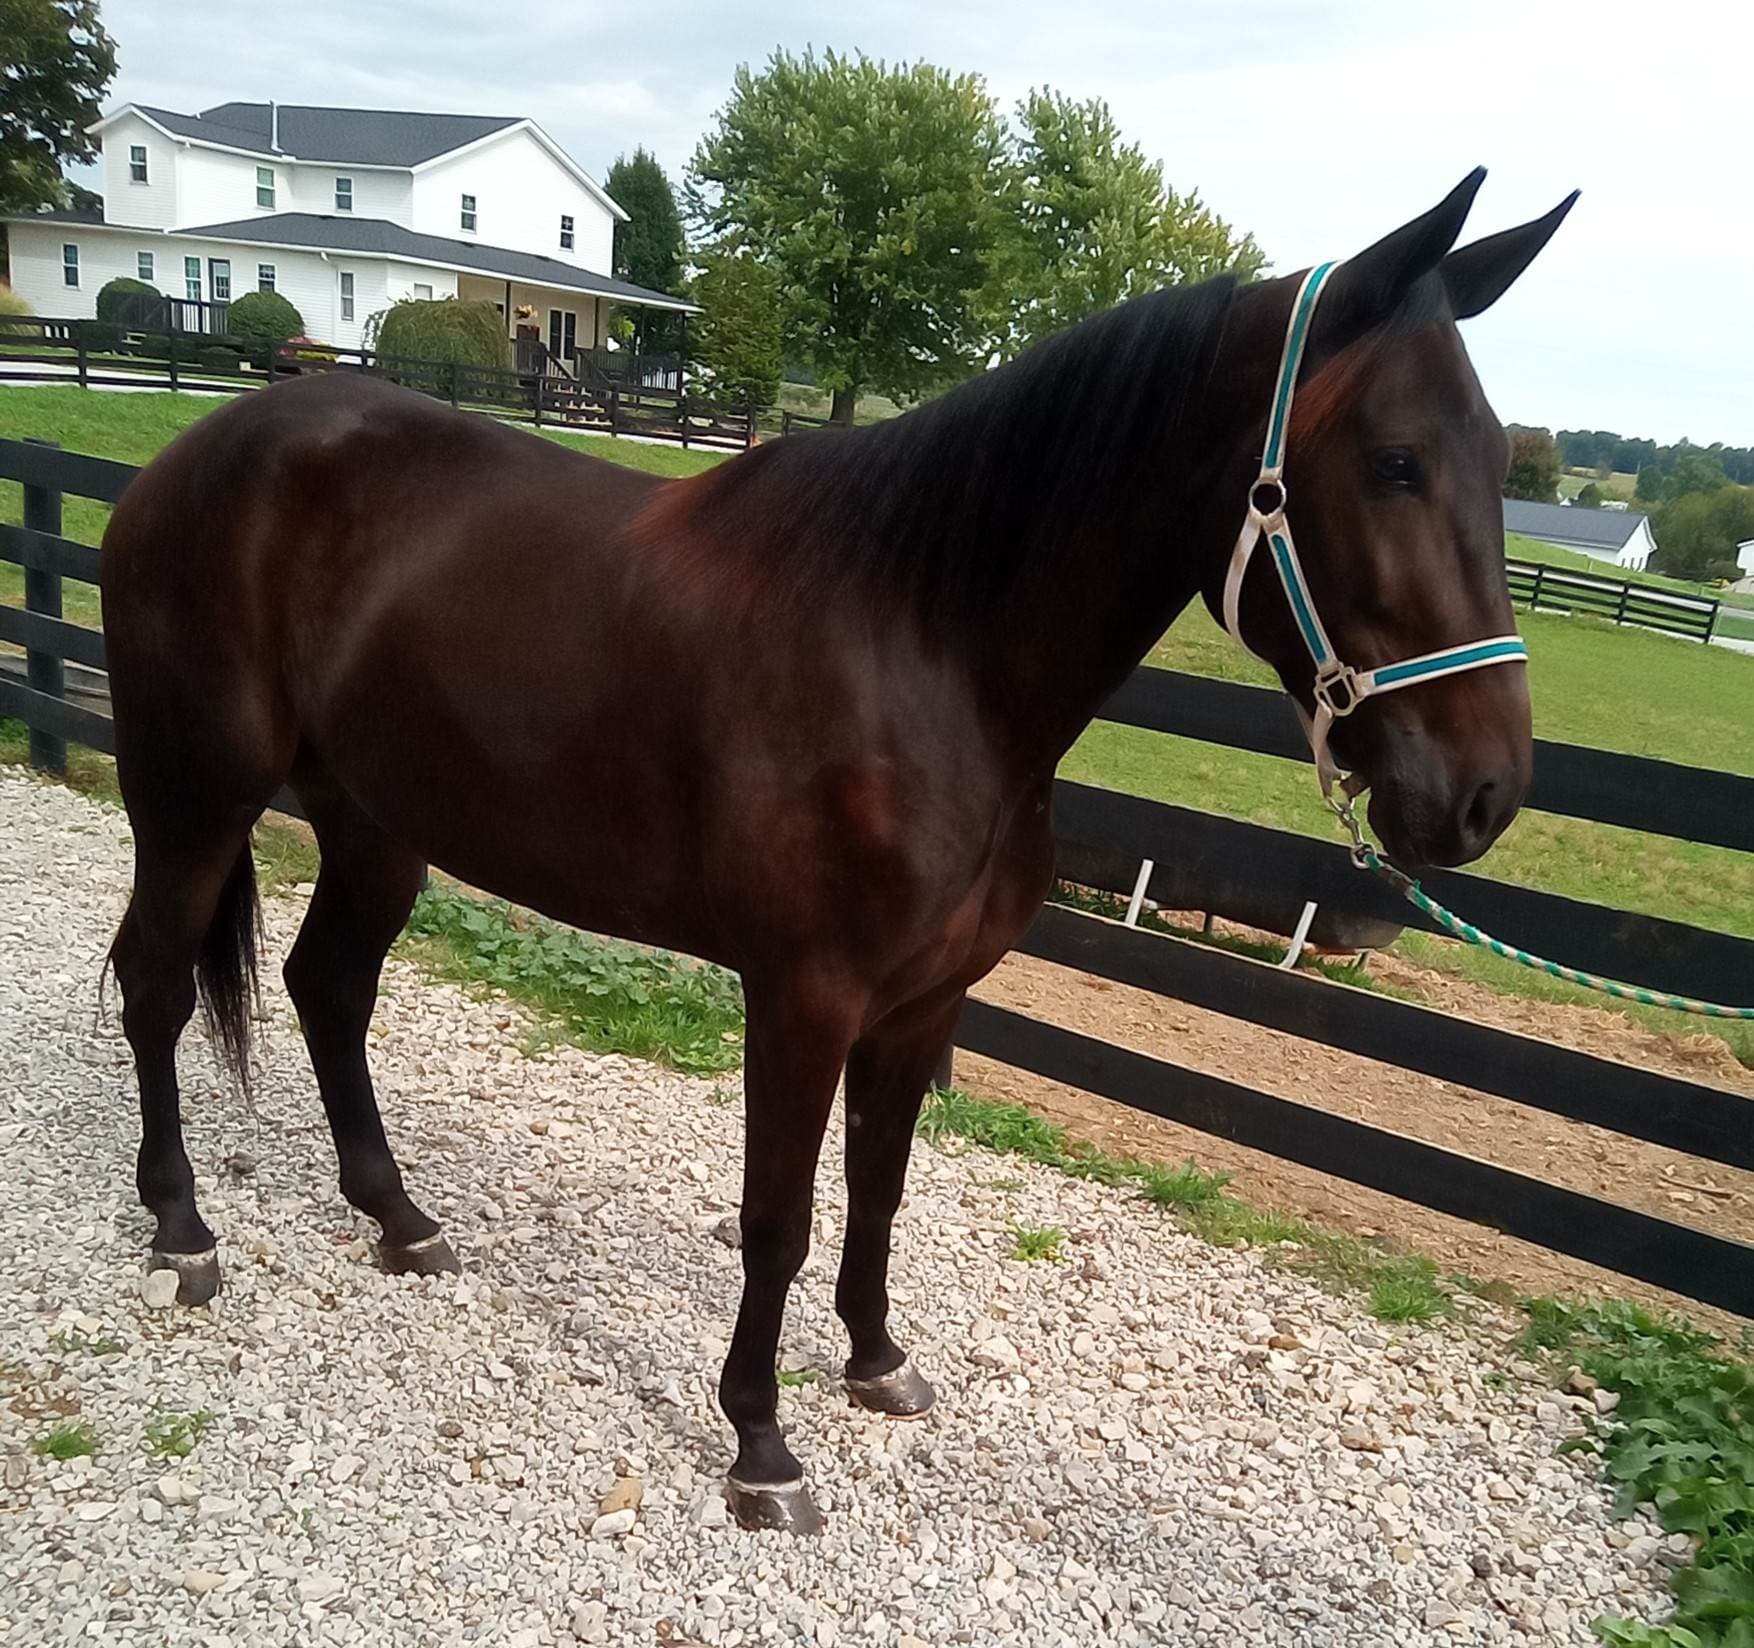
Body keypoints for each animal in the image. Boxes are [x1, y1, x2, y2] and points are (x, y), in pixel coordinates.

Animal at [98, 169, 1573, 1532]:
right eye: (1393, 461)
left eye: (1502, 468)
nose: (1483, 793)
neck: (924, 646)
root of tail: (195, 451)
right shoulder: (803, 995)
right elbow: (781, 1215)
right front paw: (761, 1446)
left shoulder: (923, 1002)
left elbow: (880, 1190)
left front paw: (875, 1362)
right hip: (192, 794)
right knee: (157, 983)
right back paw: (181, 1228)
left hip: (376, 825)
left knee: (326, 990)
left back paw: (397, 1218)